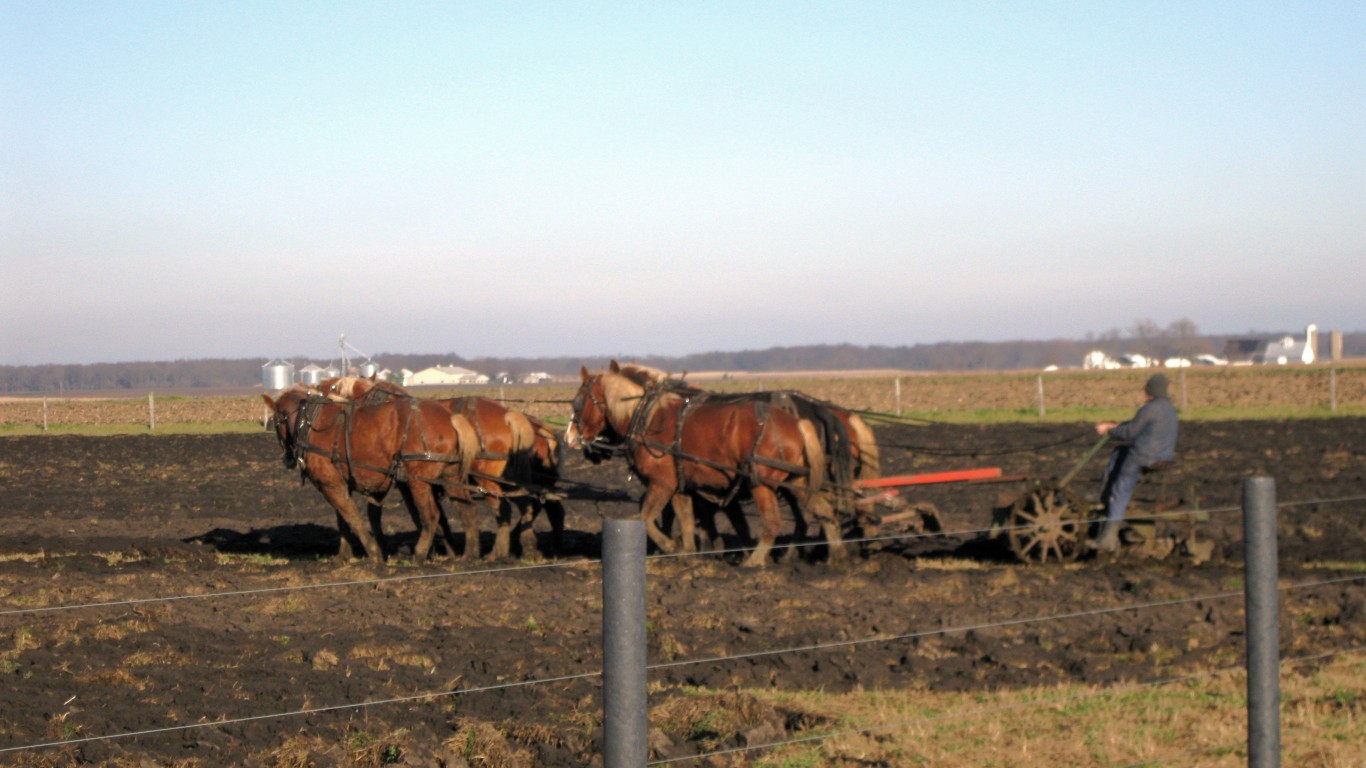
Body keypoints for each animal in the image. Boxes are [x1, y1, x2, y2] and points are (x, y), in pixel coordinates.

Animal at [262, 385, 480, 560]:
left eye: (274, 420)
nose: (287, 459)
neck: (308, 423)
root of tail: (451, 418)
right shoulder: (340, 483)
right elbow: (343, 520)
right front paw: (344, 555)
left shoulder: (330, 484)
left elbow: (352, 517)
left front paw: (374, 553)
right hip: (449, 475)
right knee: (466, 509)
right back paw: (468, 555)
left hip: (419, 480)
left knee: (432, 515)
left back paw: (419, 554)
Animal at [562, 358, 830, 563]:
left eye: (579, 401)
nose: (569, 437)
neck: (647, 417)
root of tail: (797, 422)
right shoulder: (680, 485)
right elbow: (686, 519)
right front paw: (687, 552)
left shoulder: (662, 483)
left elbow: (646, 518)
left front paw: (670, 546)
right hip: (795, 481)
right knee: (821, 511)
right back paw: (832, 554)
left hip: (762, 483)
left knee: (775, 521)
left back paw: (755, 561)